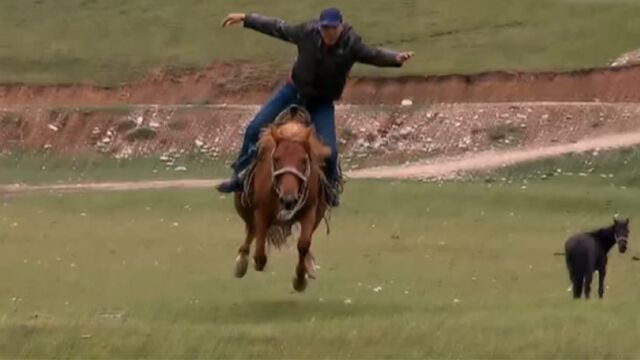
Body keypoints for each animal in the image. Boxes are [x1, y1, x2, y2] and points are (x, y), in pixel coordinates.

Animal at [235, 105, 336, 292]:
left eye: (303, 160)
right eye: (276, 158)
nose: (289, 199)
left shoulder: (310, 211)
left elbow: (303, 243)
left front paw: (300, 280)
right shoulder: (261, 211)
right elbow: (259, 250)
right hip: (242, 204)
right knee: (251, 229)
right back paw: (241, 263)